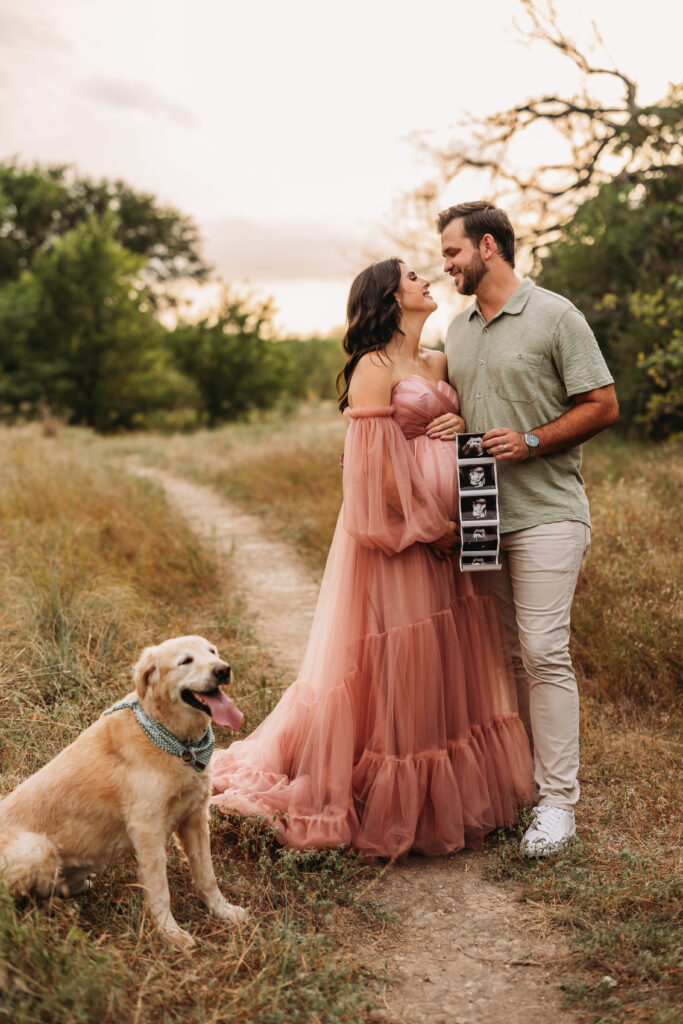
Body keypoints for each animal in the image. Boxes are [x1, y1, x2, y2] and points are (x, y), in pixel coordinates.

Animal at [0, 634, 249, 946]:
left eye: (213, 652)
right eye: (185, 661)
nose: (223, 670)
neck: (178, 743)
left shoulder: (195, 816)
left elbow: (207, 876)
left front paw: (223, 911)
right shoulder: (147, 828)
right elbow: (160, 890)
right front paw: (170, 933)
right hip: (37, 847)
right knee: (21, 904)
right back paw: (62, 910)